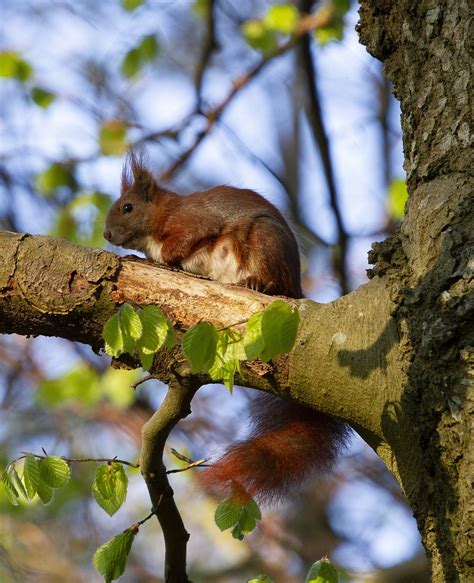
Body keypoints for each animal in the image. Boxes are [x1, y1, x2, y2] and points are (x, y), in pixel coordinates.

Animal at [103, 153, 348, 504]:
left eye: (127, 207)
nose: (107, 235)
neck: (161, 214)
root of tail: (296, 287)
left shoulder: (191, 221)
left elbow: (186, 239)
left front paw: (163, 259)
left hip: (263, 240)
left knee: (273, 281)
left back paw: (258, 283)